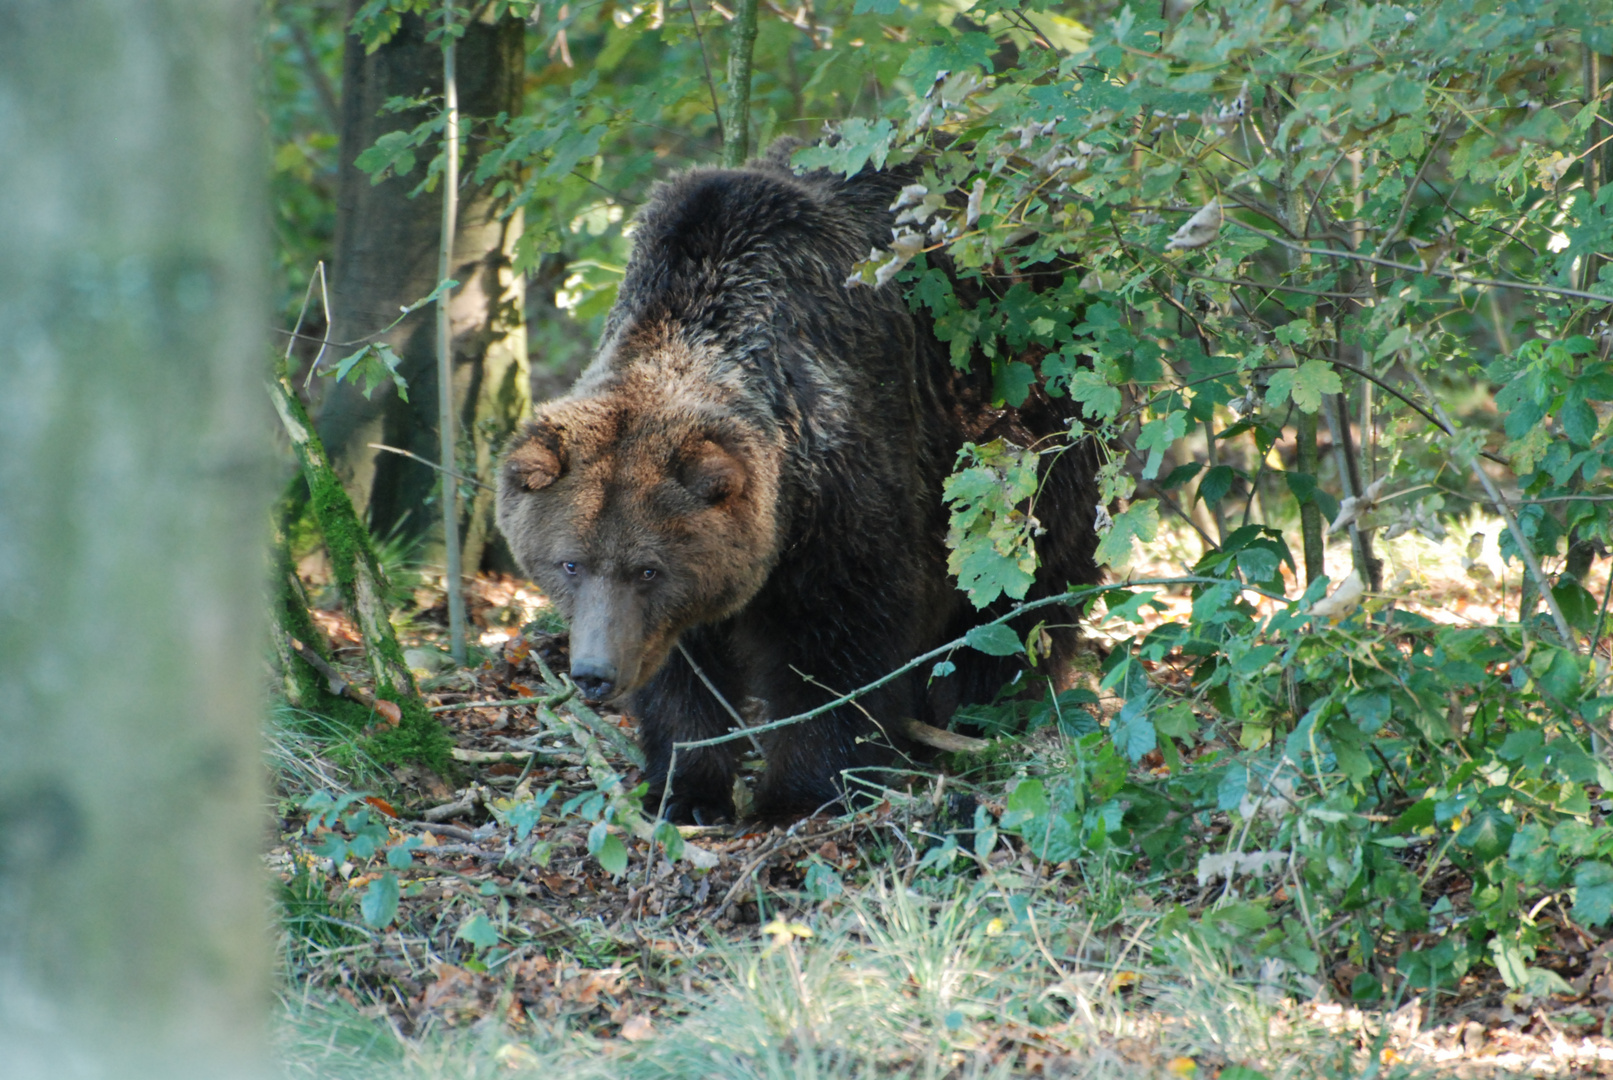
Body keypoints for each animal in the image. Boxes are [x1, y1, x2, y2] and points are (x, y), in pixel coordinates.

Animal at [496, 139, 1103, 825]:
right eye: (569, 563)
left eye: (648, 568)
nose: (595, 673)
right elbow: (682, 675)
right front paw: (685, 788)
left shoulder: (846, 482)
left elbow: (838, 647)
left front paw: (802, 793)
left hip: (1030, 425)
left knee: (1019, 599)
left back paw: (981, 721)